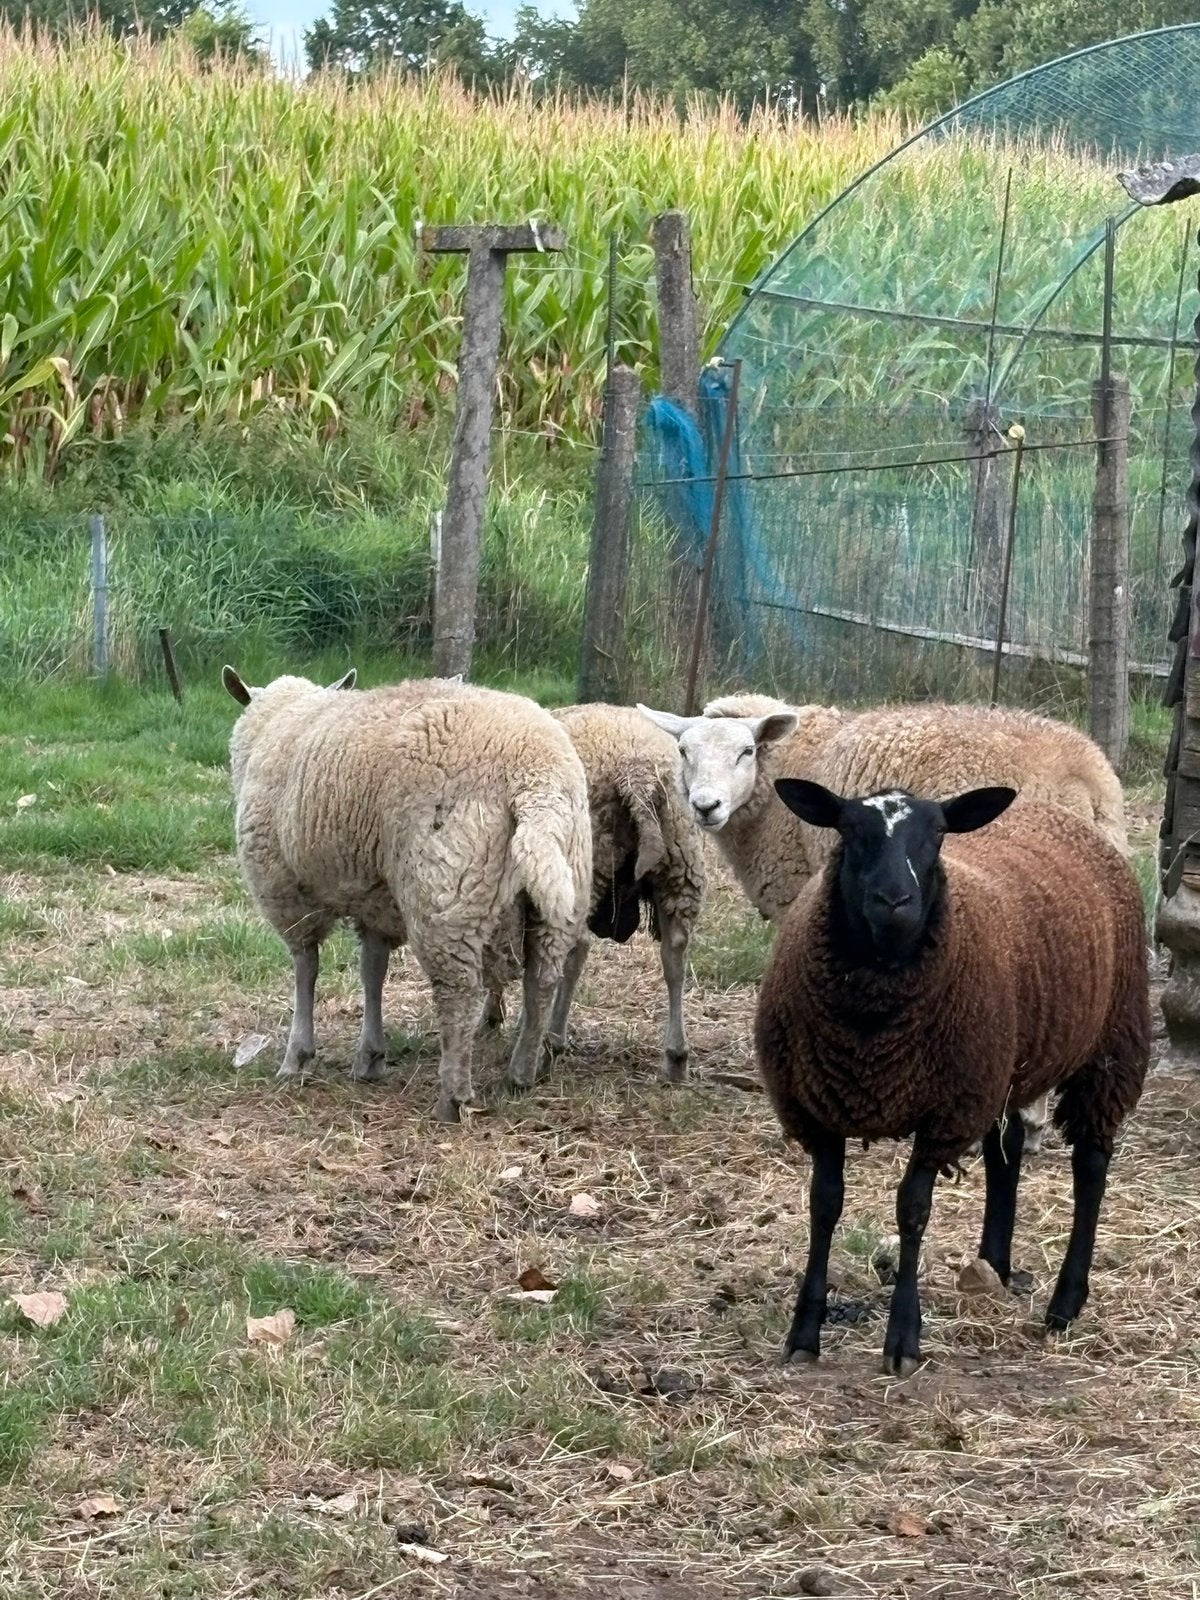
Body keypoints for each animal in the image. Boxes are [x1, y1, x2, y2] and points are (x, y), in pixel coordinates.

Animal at [222, 667, 592, 1121]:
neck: (279, 720)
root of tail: (535, 777)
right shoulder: (375, 900)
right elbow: (372, 971)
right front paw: (370, 1056)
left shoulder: (284, 892)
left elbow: (305, 970)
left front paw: (297, 1056)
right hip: (563, 891)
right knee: (542, 980)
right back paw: (521, 1074)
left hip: (446, 894)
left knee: (460, 994)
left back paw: (452, 1097)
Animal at [754, 779, 1149, 1376]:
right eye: (848, 829)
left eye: (938, 834)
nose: (894, 902)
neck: (872, 1025)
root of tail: (1045, 807)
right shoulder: (816, 1104)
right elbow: (825, 1205)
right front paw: (804, 1331)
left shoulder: (944, 1113)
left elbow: (912, 1212)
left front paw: (903, 1339)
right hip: (1001, 1065)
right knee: (1006, 1150)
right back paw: (995, 1264)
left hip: (1112, 1043)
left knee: (1091, 1164)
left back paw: (1064, 1304)